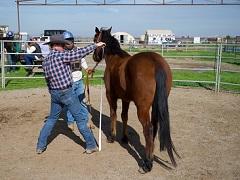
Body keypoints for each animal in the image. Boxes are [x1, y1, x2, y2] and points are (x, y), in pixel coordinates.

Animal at [93, 27, 179, 173]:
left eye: (95, 40)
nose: (94, 57)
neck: (115, 59)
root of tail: (155, 63)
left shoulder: (111, 96)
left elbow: (113, 114)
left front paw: (112, 137)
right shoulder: (126, 99)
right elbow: (124, 116)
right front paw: (124, 138)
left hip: (142, 108)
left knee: (148, 128)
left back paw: (147, 164)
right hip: (155, 106)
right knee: (154, 127)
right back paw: (149, 155)